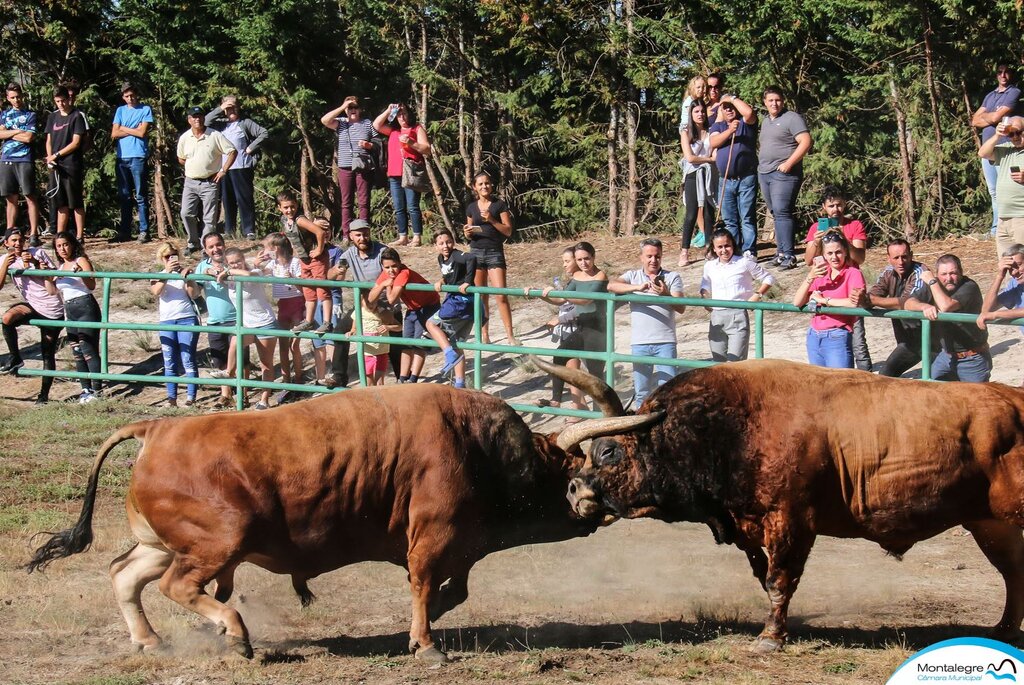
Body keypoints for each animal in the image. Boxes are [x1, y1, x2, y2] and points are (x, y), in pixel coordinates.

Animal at [25, 382, 647, 659]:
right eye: (581, 466)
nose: (598, 505)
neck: (478, 445)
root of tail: (158, 429)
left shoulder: (462, 544)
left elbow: (454, 590)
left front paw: (423, 629)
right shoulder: (433, 535)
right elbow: (426, 585)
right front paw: (426, 643)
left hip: (161, 544)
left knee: (124, 575)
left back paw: (150, 640)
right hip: (216, 544)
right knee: (179, 586)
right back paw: (234, 632)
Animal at [544, 360, 1024, 651]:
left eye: (608, 451)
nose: (573, 490)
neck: (728, 426)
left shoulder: (791, 523)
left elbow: (780, 581)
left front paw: (771, 637)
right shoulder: (752, 527)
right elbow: (766, 578)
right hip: (990, 526)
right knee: (1013, 576)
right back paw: (1002, 632)